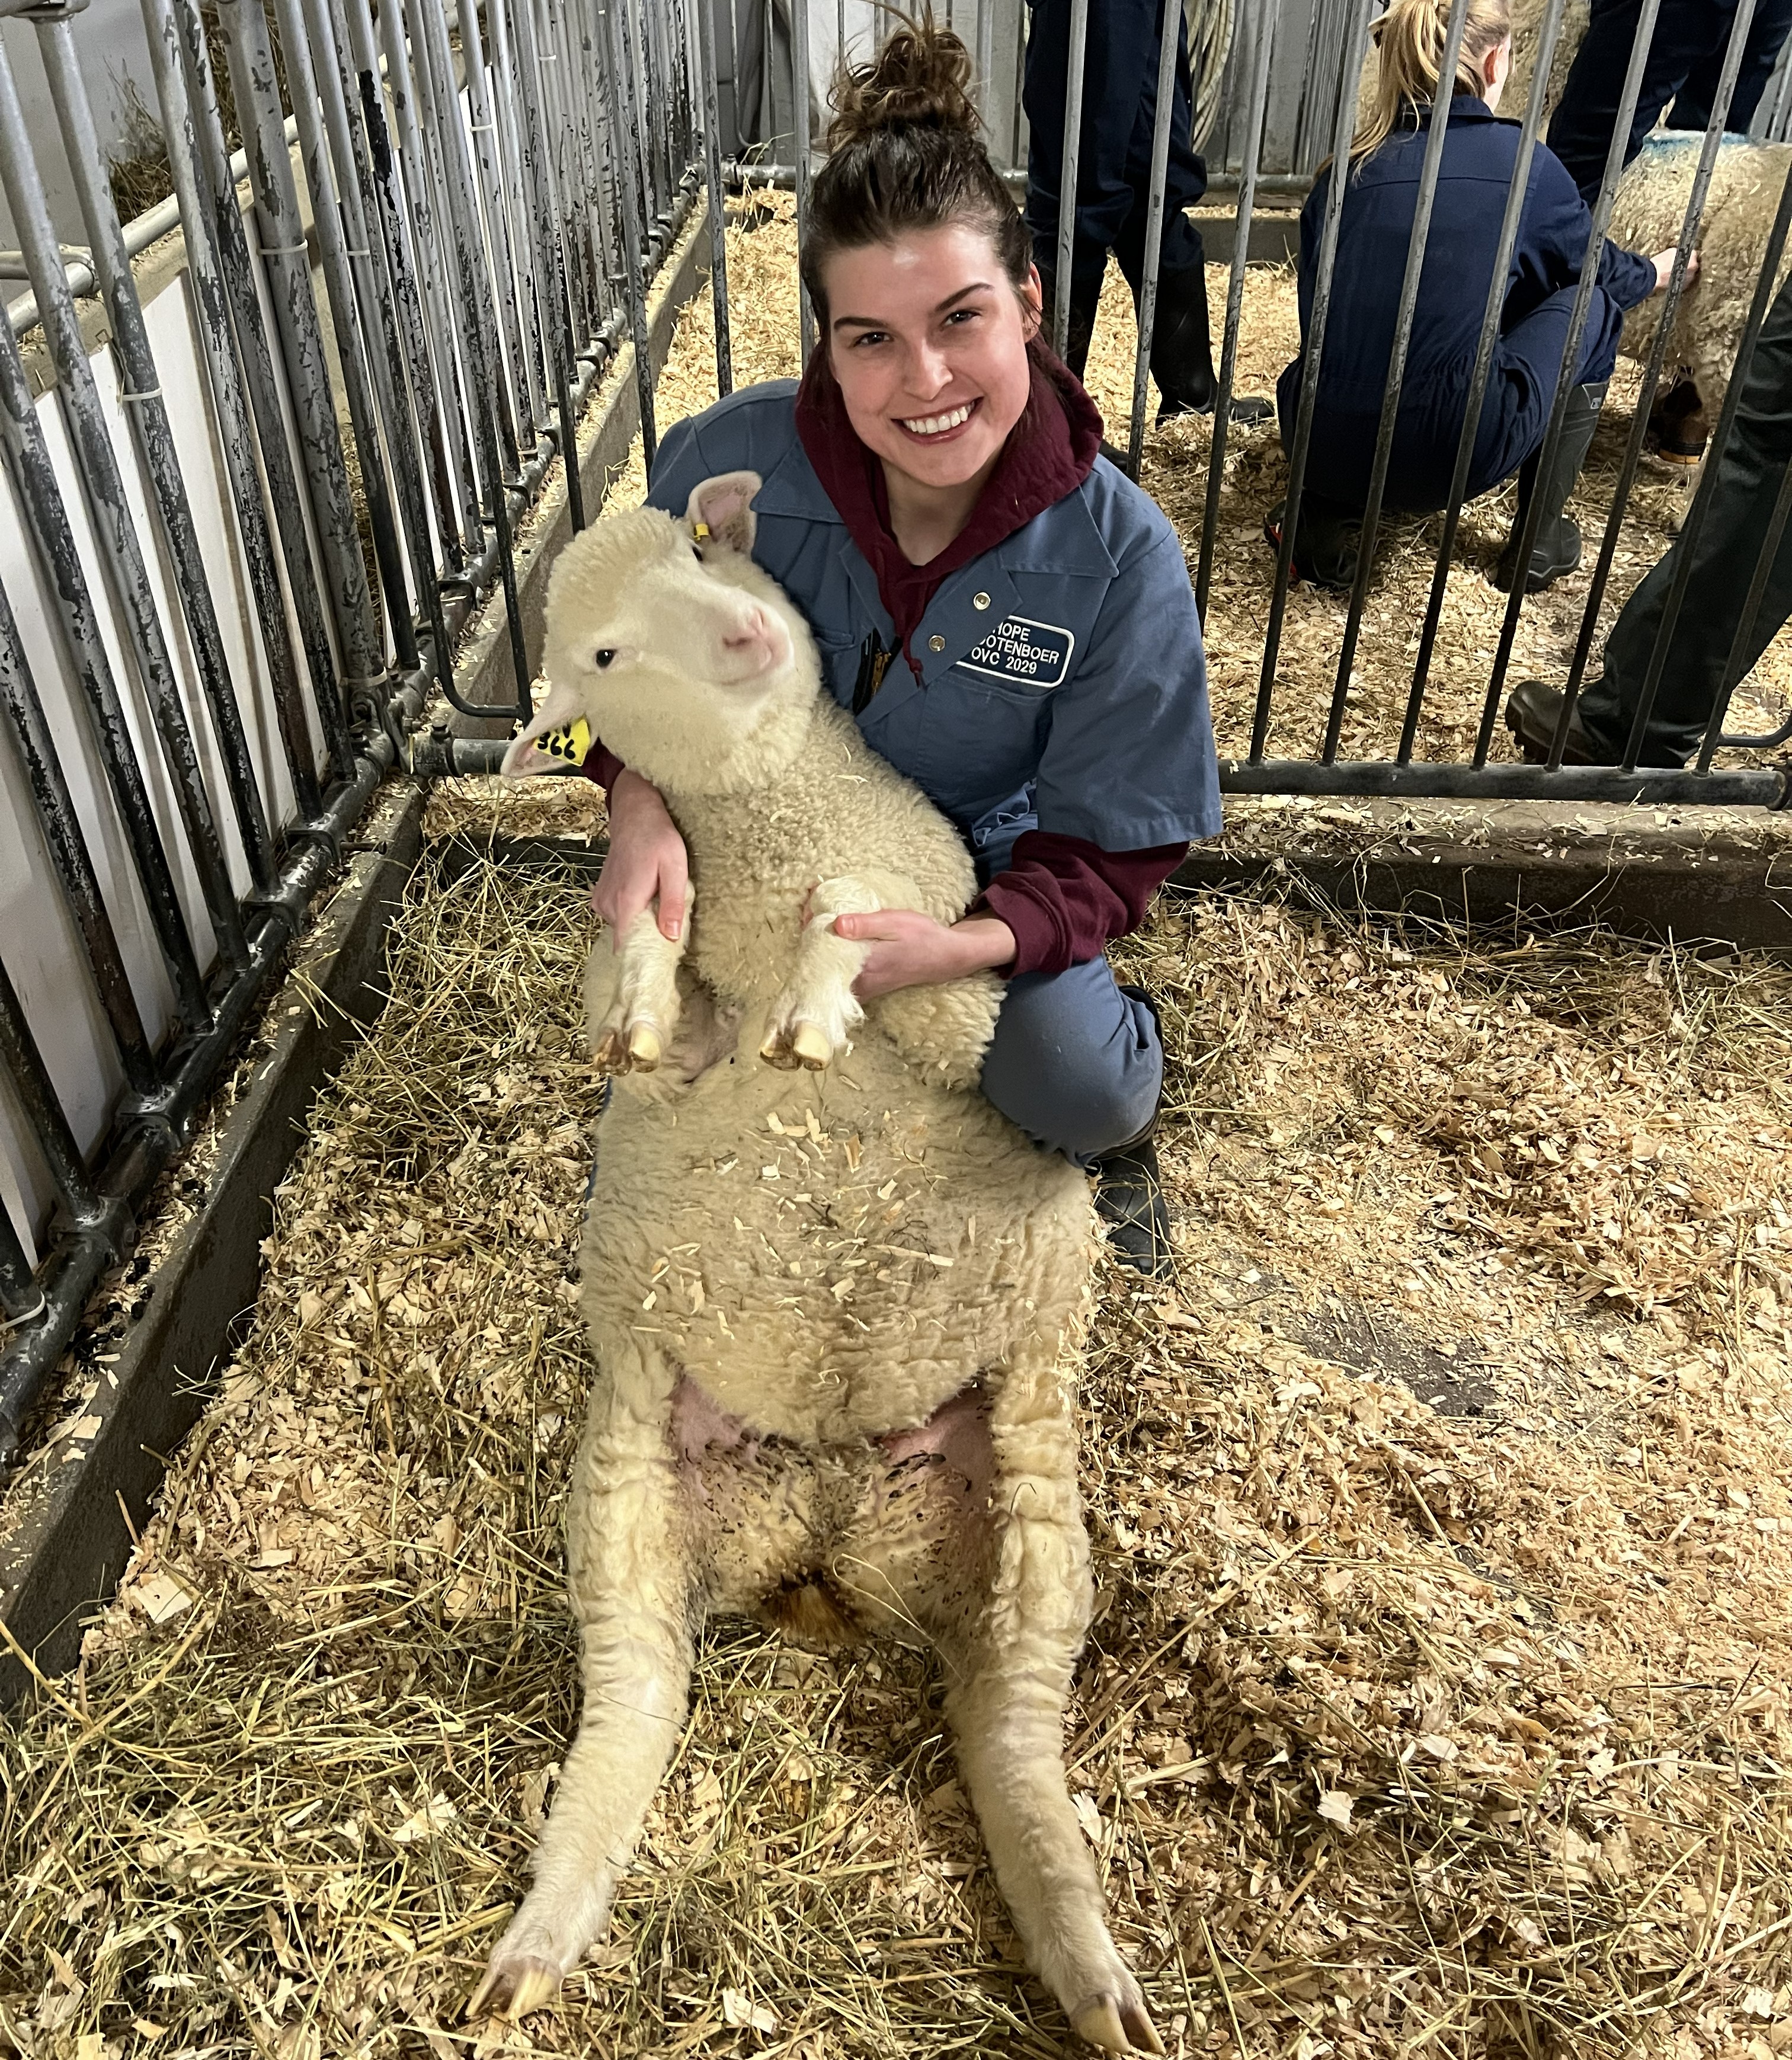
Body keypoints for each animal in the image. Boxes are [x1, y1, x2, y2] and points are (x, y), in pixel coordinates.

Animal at [468, 470, 1163, 2055]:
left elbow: (850, 911)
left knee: (1010, 1725)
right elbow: (642, 957)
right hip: (630, 1501)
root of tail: (825, 1523)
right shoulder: (678, 1028)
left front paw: (813, 1005)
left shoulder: (956, 977)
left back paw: (1092, 1971)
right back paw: (534, 1947)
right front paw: (664, 989)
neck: (772, 811)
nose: (745, 638)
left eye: (703, 543)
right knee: (635, 1702)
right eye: (602, 653)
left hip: (1028, 1496)